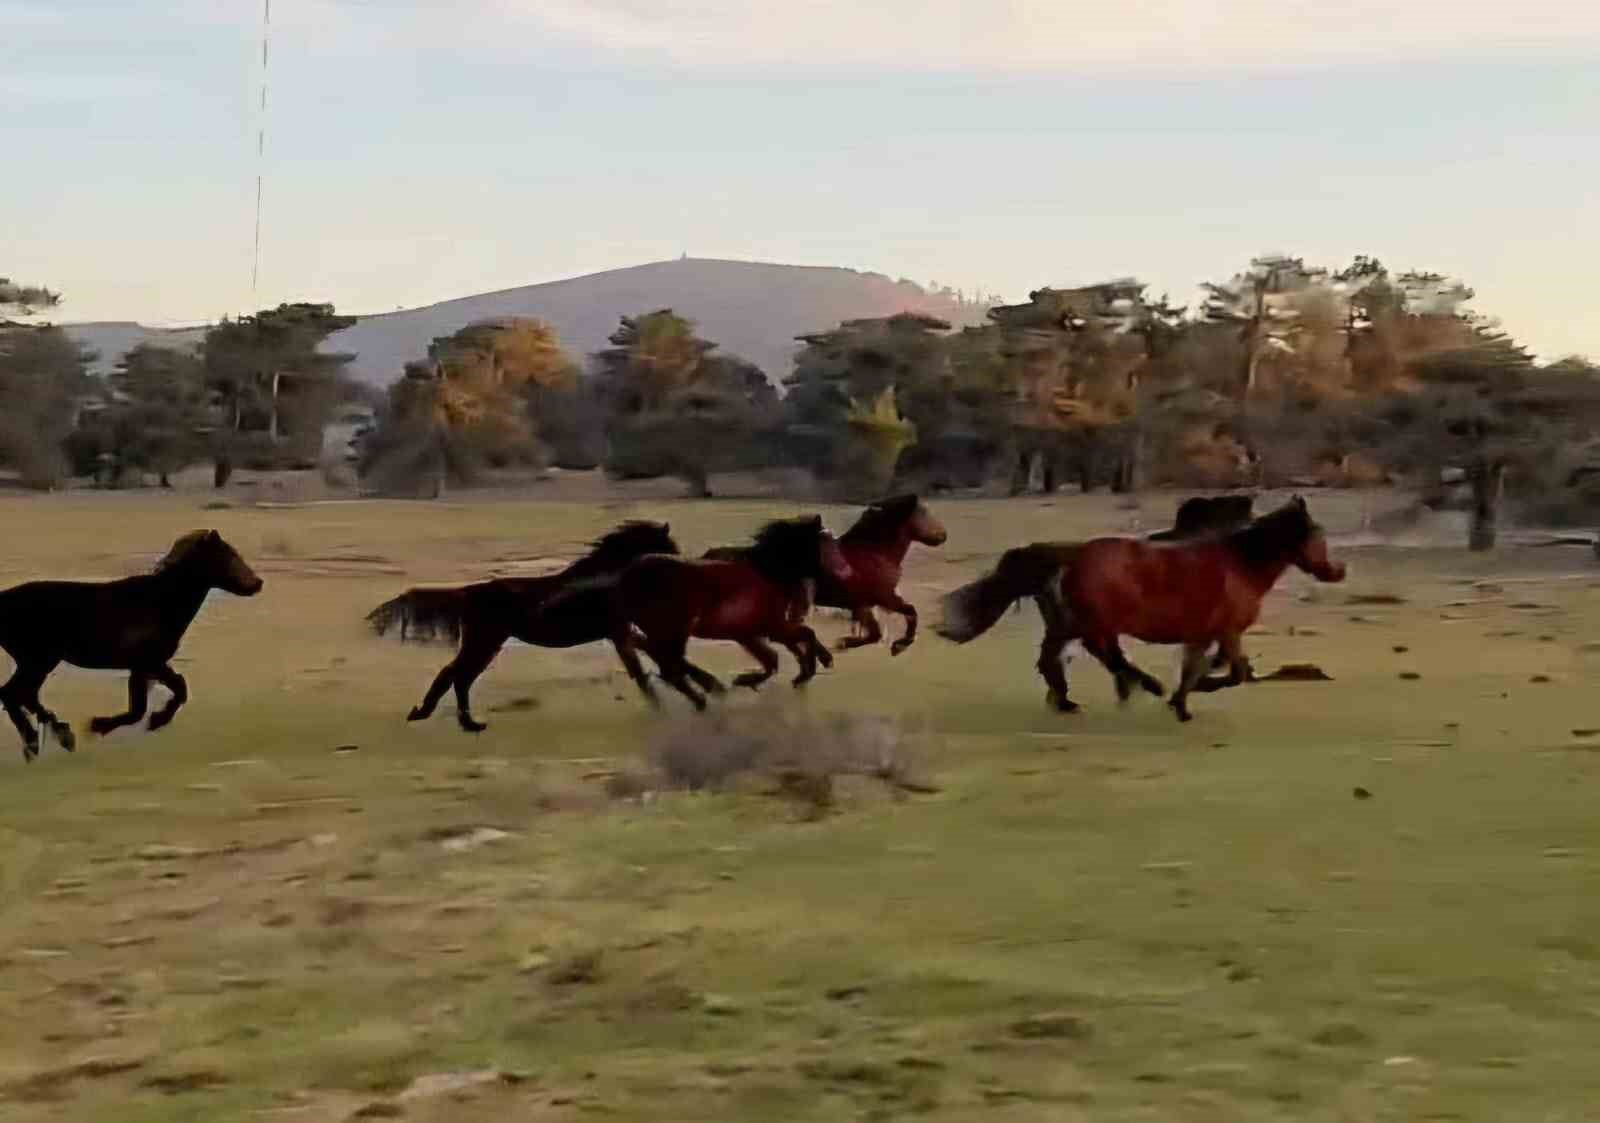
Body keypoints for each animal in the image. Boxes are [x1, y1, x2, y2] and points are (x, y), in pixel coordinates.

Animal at [0, 531, 265, 764]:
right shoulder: (145, 663)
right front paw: (101, 725)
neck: (160, 601)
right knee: (13, 694)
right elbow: (142, 708)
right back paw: (40, 741)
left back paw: (55, 738)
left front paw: (155, 720)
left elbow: (176, 689)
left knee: (24, 695)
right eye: (228, 555)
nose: (258, 583)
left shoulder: (151, 665)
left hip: (40, 661)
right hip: (37, 660)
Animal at [368, 521, 681, 735]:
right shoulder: (619, 631)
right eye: (668, 546)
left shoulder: (620, 633)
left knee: (460, 677)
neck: (605, 579)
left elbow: (643, 664)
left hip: (487, 643)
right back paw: (445, 719)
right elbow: (639, 670)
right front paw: (661, 707)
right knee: (456, 675)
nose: (681, 567)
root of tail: (467, 592)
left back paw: (463, 722)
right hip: (484, 642)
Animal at [604, 518, 851, 713]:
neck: (767, 573)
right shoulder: (771, 627)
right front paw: (808, 670)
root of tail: (626, 577)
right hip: (672, 632)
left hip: (663, 634)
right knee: (669, 669)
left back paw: (704, 693)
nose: (847, 571)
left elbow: (774, 658)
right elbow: (801, 639)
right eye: (828, 546)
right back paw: (703, 700)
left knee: (662, 661)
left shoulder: (754, 633)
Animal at [940, 495, 1344, 726]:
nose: (1337, 571)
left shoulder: (1204, 634)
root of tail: (1071, 555)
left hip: (1073, 623)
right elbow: (1235, 673)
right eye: (1317, 533)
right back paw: (1138, 686)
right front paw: (1186, 696)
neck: (1240, 565)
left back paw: (1070, 700)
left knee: (1059, 658)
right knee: (1097, 655)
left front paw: (1181, 704)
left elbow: (1198, 668)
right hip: (1092, 622)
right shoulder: (1228, 632)